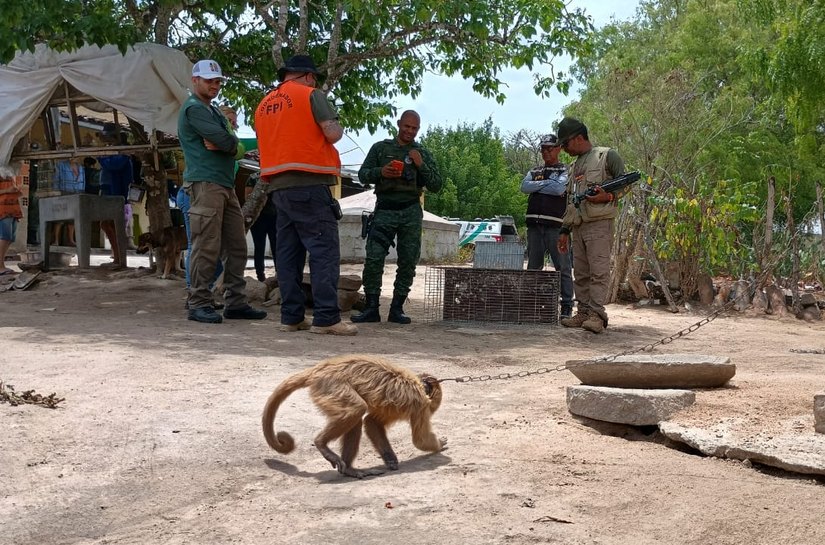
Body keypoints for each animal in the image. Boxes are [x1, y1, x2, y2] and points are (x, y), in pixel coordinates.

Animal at [262, 352, 444, 476]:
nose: (433, 409)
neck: (418, 384)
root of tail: (320, 369)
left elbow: (371, 423)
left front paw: (390, 458)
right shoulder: (421, 405)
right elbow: (420, 441)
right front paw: (440, 445)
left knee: (356, 418)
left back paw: (349, 469)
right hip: (331, 385)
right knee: (356, 409)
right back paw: (321, 443)